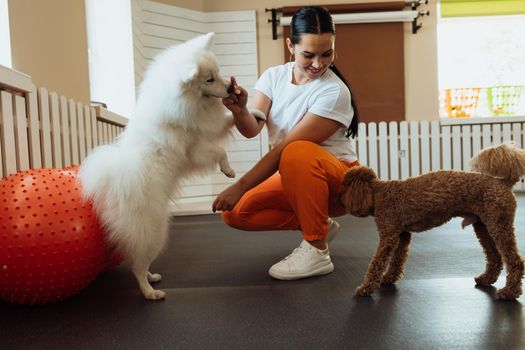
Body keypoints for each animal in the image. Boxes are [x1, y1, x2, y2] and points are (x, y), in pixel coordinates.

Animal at [78, 32, 233, 300]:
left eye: (219, 72)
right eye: (209, 79)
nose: (231, 87)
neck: (181, 103)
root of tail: (114, 186)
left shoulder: (205, 129)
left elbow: (227, 122)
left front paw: (255, 114)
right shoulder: (195, 150)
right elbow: (219, 151)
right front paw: (228, 169)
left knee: (138, 262)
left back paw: (152, 278)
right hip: (154, 231)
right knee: (137, 265)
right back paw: (150, 292)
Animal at [340, 142, 524, 300]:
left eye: (345, 185)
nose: (339, 199)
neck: (379, 192)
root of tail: (504, 183)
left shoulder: (388, 236)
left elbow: (377, 263)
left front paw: (366, 288)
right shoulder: (402, 235)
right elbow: (397, 260)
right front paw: (389, 278)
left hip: (498, 225)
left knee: (515, 261)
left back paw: (509, 292)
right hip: (483, 226)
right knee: (496, 258)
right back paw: (486, 279)